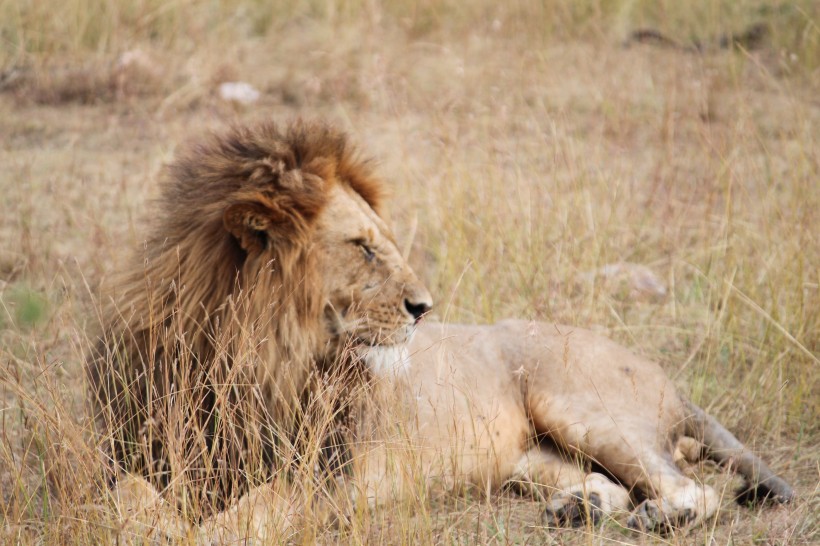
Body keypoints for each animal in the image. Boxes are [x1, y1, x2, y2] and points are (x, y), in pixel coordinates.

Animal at [91, 119, 796, 540]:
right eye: (363, 246)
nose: (423, 307)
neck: (247, 354)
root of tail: (668, 378)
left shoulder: (329, 478)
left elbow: (253, 510)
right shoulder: (135, 454)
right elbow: (126, 495)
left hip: (582, 405)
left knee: (692, 487)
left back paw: (657, 517)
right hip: (529, 457)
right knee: (605, 481)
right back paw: (581, 508)